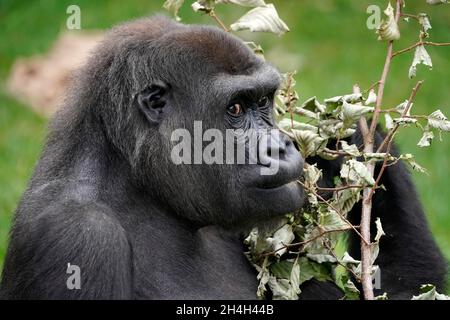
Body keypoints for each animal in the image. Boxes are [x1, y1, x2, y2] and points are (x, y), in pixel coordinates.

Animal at [0, 16, 446, 298]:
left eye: (264, 102)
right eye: (234, 108)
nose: (280, 145)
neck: (135, 182)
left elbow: (407, 291)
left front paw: (352, 135)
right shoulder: (77, 238)